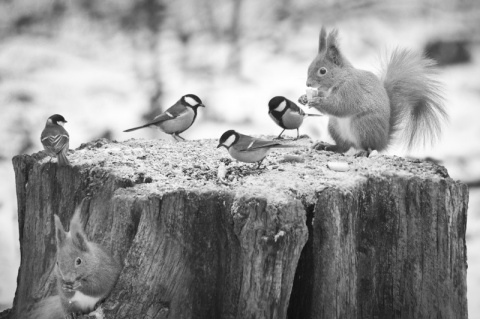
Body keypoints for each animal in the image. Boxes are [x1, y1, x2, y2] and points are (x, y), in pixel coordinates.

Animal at [298, 26, 448, 157]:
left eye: (323, 71)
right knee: (344, 146)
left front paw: (318, 101)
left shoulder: (352, 90)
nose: (308, 84)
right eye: (309, 67)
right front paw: (303, 98)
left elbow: (341, 106)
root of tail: (383, 141)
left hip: (364, 126)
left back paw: (364, 152)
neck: (340, 79)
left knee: (368, 147)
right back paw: (328, 146)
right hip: (335, 126)